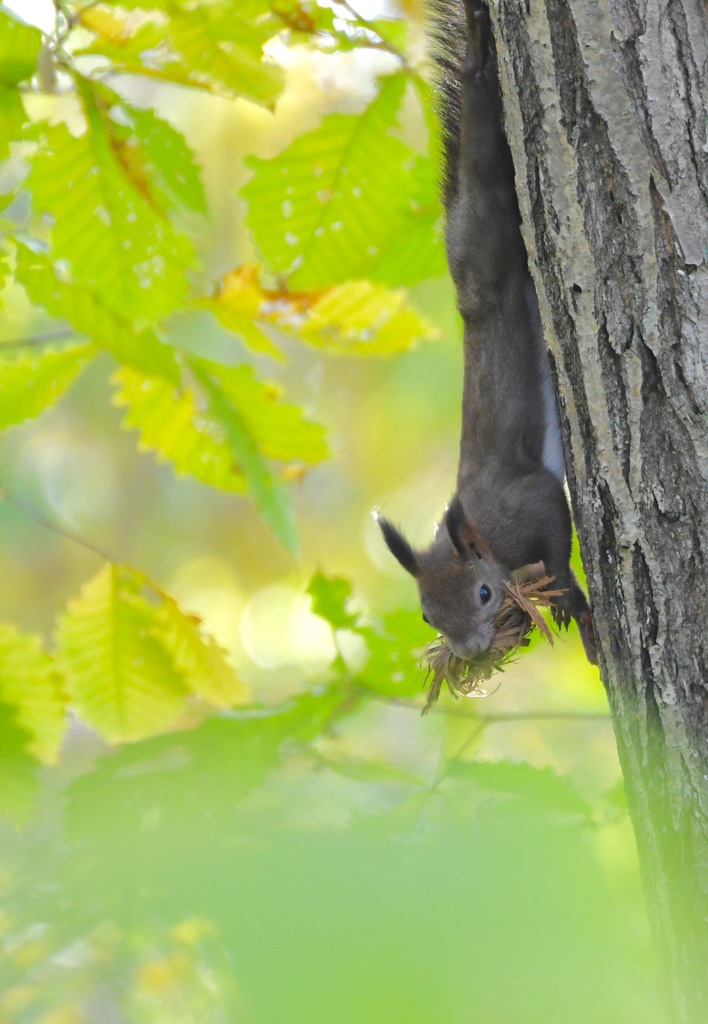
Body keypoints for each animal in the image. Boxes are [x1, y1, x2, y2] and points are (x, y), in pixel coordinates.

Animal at [377, 0, 598, 663]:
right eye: (426, 614)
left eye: (482, 593)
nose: (473, 653)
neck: (479, 536)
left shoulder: (528, 502)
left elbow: (555, 536)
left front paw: (569, 595)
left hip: (489, 212)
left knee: (482, 136)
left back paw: (478, 53)